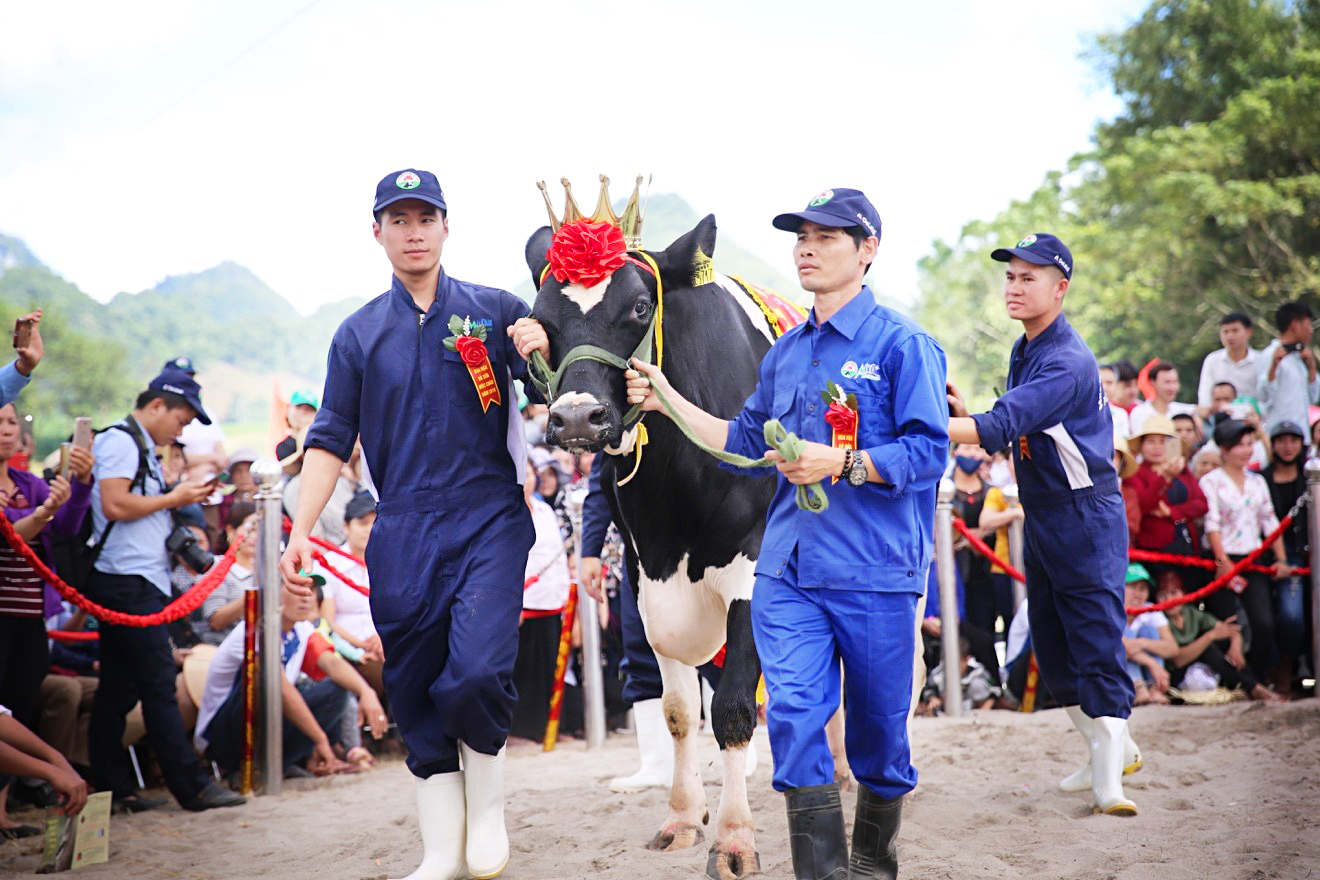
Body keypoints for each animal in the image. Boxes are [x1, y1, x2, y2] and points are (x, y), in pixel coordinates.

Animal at [522, 215, 770, 880]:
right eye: (540, 316)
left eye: (638, 306)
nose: (576, 419)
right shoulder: (647, 580)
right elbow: (679, 709)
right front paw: (683, 819)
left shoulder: (752, 569)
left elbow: (733, 705)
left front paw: (734, 838)